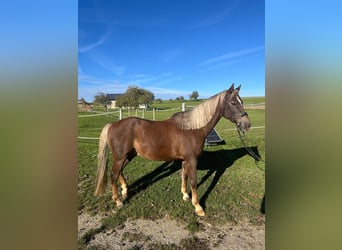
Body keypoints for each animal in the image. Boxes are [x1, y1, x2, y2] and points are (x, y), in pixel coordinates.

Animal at [95, 83, 250, 216]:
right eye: (233, 103)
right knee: (113, 174)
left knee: (119, 171)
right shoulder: (192, 160)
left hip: (129, 155)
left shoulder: (185, 160)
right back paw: (118, 201)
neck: (192, 129)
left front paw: (185, 195)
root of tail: (112, 125)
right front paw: (198, 207)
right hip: (121, 157)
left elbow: (184, 176)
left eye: (242, 101)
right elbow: (193, 181)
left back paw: (125, 191)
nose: (246, 124)